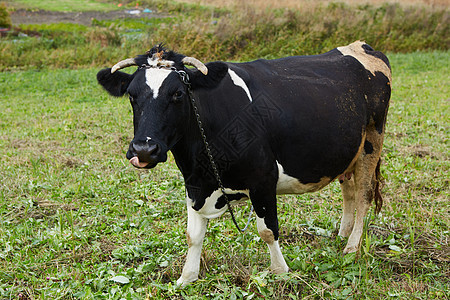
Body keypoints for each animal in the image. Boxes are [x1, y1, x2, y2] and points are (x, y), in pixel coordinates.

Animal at [97, 40, 390, 286]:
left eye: (178, 94)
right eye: (132, 95)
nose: (144, 149)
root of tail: (361, 46)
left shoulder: (263, 178)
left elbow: (268, 230)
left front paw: (280, 271)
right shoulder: (194, 182)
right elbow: (193, 235)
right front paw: (187, 277)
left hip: (372, 142)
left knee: (363, 195)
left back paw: (351, 246)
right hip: (348, 152)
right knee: (348, 191)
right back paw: (342, 234)